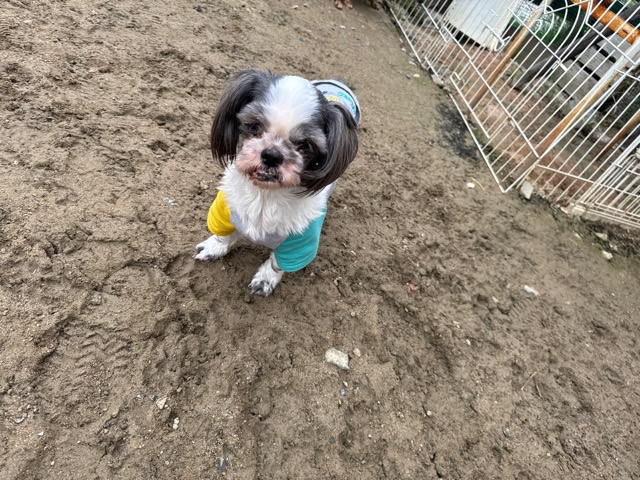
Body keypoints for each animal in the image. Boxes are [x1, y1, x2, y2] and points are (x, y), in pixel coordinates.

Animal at [194, 70, 360, 296]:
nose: (272, 155)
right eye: (254, 126)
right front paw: (214, 247)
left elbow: (277, 263)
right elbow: (224, 235)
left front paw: (266, 279)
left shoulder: (299, 244)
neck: (265, 195)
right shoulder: (226, 212)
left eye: (305, 145)